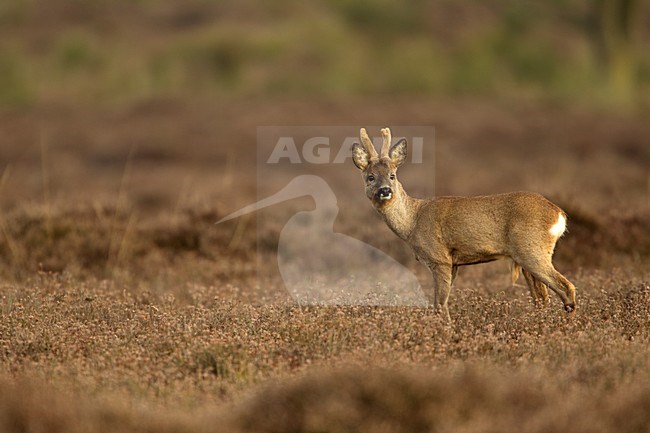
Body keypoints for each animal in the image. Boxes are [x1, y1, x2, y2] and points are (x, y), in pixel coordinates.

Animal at [352, 126, 576, 318]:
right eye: (370, 177)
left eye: (392, 175)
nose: (385, 190)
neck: (413, 222)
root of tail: (559, 214)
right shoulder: (454, 264)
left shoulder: (440, 258)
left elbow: (440, 305)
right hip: (526, 258)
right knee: (542, 298)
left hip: (531, 249)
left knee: (567, 288)